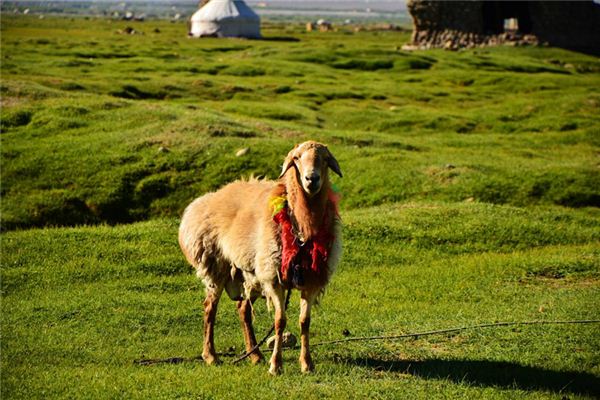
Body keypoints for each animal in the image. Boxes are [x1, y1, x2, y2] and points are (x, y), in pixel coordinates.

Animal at [177, 141, 342, 376]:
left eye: (325, 159)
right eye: (297, 158)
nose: (312, 179)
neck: (301, 225)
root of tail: (205, 200)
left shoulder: (311, 280)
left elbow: (305, 321)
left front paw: (307, 363)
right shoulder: (273, 278)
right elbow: (280, 321)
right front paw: (276, 365)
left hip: (250, 273)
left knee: (243, 310)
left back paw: (254, 355)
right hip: (216, 266)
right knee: (210, 307)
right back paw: (211, 356)